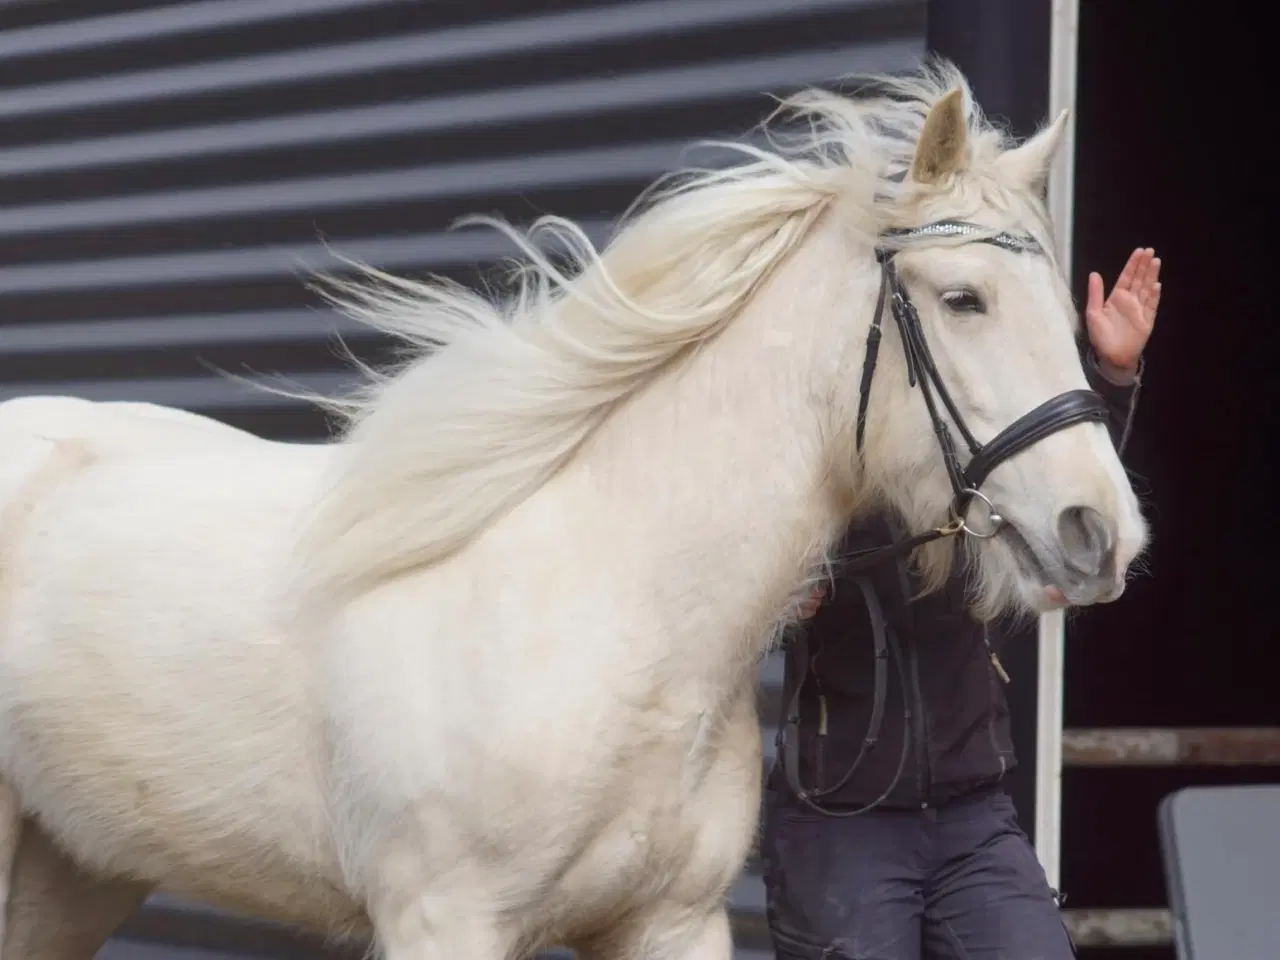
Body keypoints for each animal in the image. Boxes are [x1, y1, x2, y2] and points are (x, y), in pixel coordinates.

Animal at [0, 62, 1146, 960]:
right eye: (962, 299)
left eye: (1061, 306)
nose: (1100, 533)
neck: (612, 609)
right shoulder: (443, 922)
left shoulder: (672, 925)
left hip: (72, 872)